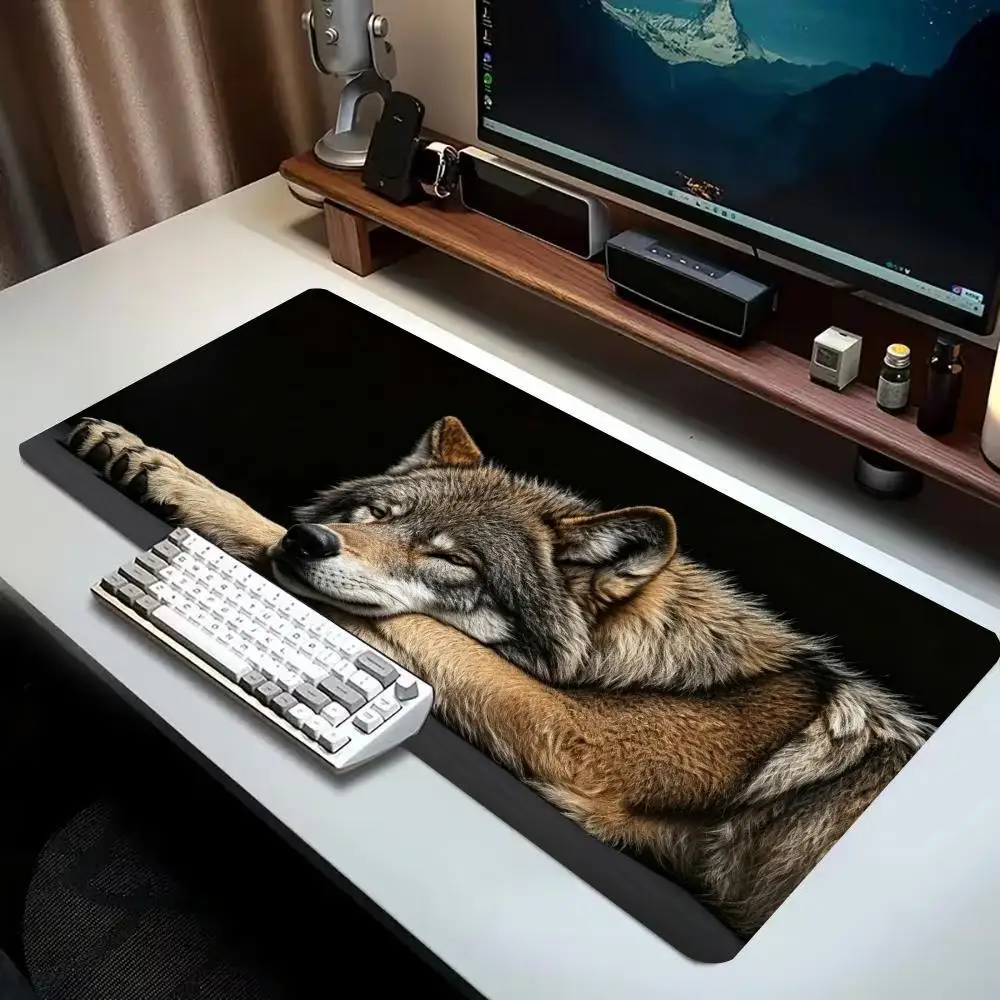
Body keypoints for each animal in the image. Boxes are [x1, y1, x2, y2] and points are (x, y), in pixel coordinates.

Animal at [68, 414, 933, 937]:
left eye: (451, 560)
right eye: (375, 516)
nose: (310, 542)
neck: (658, 671)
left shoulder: (567, 732)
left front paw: (189, 489)